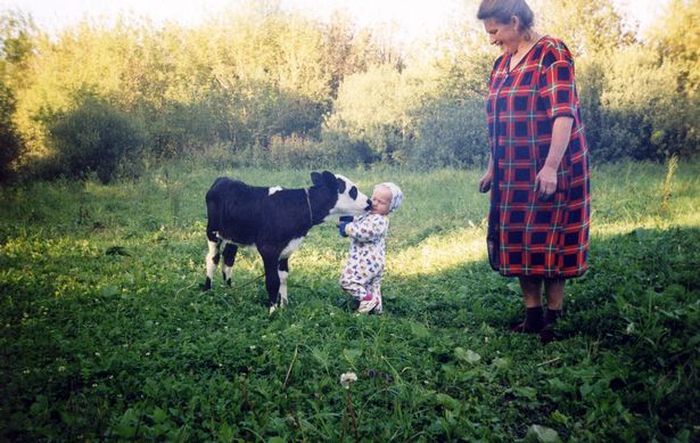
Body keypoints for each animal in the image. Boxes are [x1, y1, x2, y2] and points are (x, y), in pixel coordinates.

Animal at [204, 172, 372, 314]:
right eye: (353, 191)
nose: (370, 202)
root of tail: (223, 179)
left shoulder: (286, 250)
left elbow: (283, 278)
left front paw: (284, 305)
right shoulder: (269, 249)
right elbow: (272, 281)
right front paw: (272, 311)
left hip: (234, 237)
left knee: (228, 259)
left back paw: (229, 289)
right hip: (212, 232)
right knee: (213, 259)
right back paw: (207, 290)